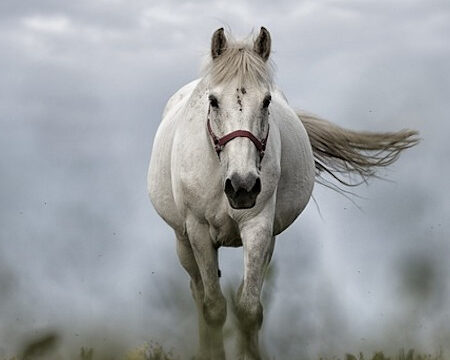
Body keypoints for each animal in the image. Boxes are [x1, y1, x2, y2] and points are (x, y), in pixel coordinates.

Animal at [148, 28, 418, 360]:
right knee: (198, 294)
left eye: (266, 101)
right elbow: (213, 308)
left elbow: (249, 309)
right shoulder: (198, 231)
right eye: (213, 100)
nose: (242, 186)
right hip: (183, 241)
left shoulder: (259, 227)